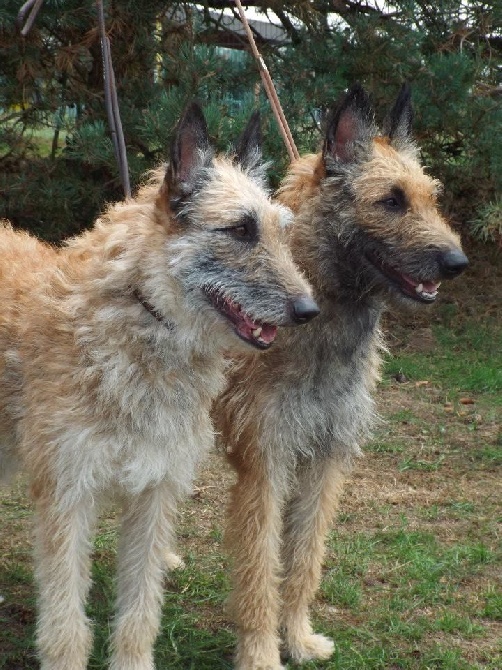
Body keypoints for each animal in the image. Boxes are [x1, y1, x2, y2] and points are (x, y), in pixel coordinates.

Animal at [0, 103, 318, 670]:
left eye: (282, 232)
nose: (309, 310)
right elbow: (66, 626)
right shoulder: (67, 496)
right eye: (240, 230)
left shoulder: (154, 495)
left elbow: (139, 611)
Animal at [217, 84, 470, 670]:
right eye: (392, 201)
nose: (458, 262)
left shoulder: (326, 461)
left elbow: (304, 559)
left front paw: (297, 638)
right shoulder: (265, 464)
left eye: (430, 198)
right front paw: (261, 654)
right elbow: (259, 570)